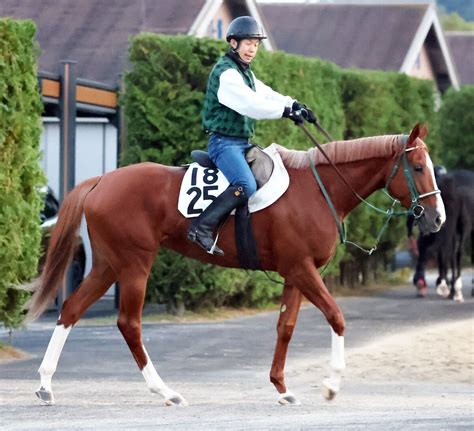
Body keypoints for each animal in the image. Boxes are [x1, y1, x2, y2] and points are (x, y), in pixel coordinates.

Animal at [23, 123, 444, 406]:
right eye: (418, 167)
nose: (437, 218)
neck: (318, 188)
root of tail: (101, 181)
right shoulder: (304, 270)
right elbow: (336, 317)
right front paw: (332, 384)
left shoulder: (295, 274)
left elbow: (285, 327)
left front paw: (282, 387)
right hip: (134, 264)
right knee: (129, 324)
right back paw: (165, 390)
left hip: (109, 265)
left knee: (72, 309)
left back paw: (45, 384)